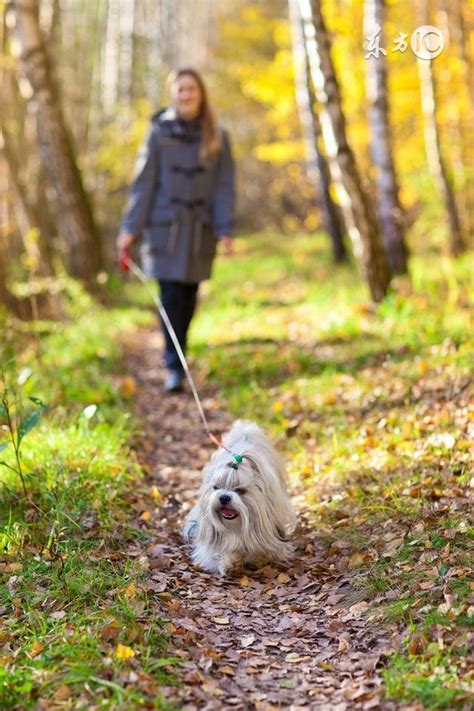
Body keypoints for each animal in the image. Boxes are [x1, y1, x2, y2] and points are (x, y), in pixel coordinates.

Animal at [182, 420, 296, 576]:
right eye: (216, 487)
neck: (236, 526)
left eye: (240, 490)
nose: (224, 497)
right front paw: (230, 562)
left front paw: (256, 557)